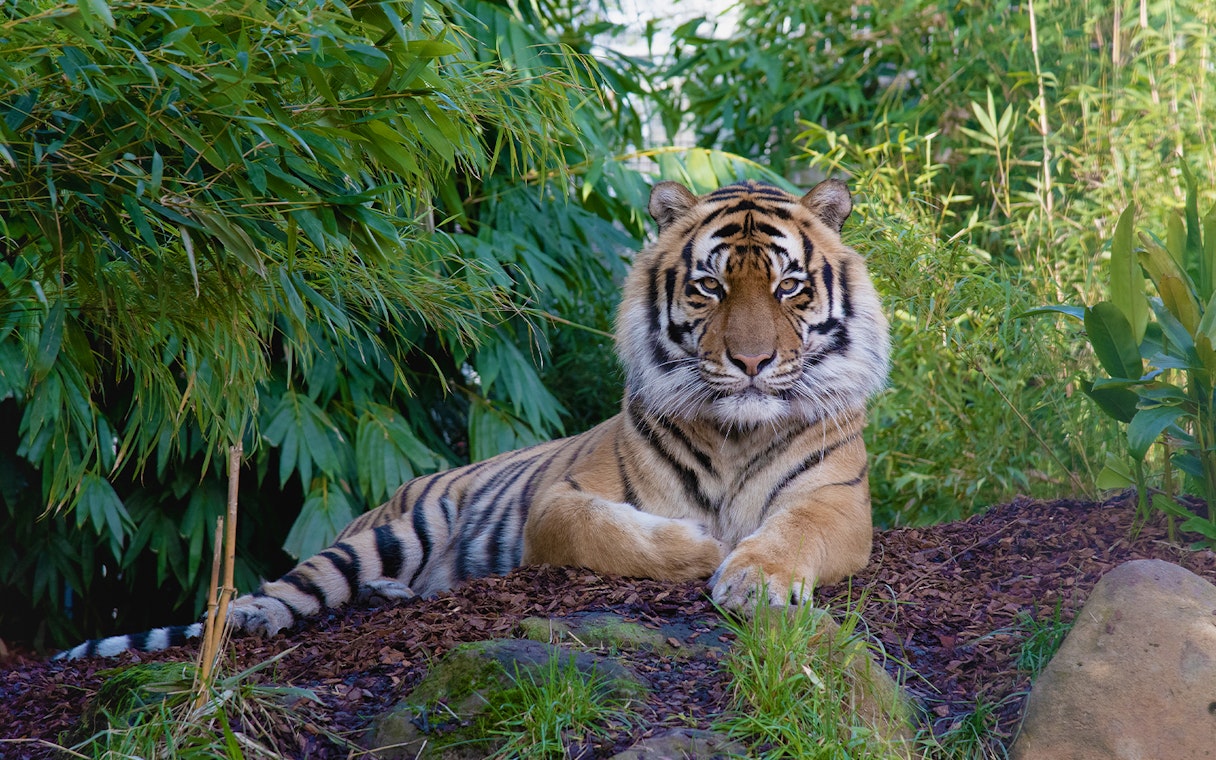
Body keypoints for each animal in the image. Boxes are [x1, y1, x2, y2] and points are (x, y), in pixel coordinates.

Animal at [56, 178, 890, 660]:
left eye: (788, 287)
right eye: (710, 287)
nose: (750, 362)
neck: (733, 430)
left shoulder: (836, 502)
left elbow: (792, 533)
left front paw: (751, 577)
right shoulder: (562, 498)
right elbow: (602, 531)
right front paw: (699, 547)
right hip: (389, 531)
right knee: (294, 585)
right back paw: (260, 617)